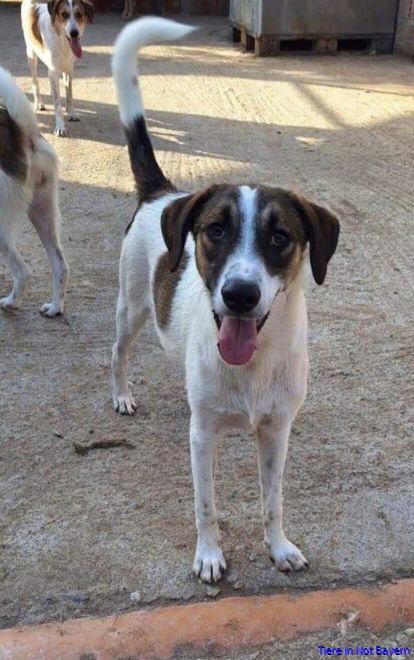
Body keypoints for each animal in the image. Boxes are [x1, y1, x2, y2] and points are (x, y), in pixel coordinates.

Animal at [0, 67, 68, 315]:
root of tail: (26, 136)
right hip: (43, 211)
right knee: (60, 265)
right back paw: (55, 307)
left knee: (23, 273)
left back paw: (12, 302)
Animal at [21, 0, 94, 136]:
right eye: (64, 14)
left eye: (79, 14)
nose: (74, 33)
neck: (62, 41)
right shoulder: (53, 71)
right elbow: (57, 103)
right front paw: (60, 127)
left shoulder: (69, 70)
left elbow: (69, 94)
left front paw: (71, 112)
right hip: (31, 54)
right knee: (35, 81)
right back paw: (39, 103)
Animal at [111, 18, 340, 582]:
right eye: (215, 230)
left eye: (280, 237)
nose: (239, 295)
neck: (251, 365)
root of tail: (162, 193)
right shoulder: (203, 439)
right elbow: (206, 505)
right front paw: (210, 555)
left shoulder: (277, 431)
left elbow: (273, 500)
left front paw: (278, 548)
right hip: (131, 307)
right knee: (118, 351)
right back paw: (121, 393)